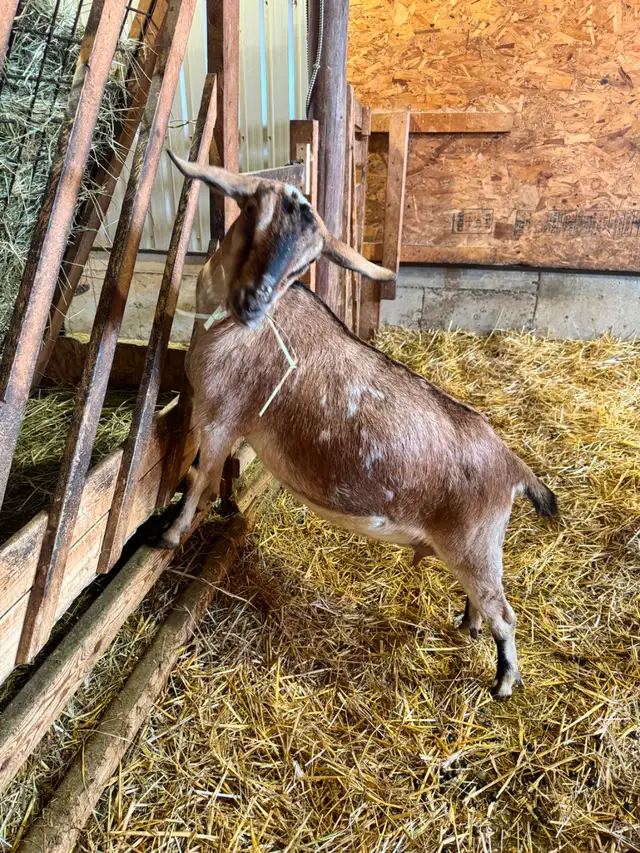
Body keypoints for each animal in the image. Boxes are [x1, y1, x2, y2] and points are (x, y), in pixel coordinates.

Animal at [160, 153, 558, 700]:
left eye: (305, 263)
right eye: (254, 217)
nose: (253, 303)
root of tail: (514, 467)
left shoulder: (220, 415)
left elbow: (199, 477)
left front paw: (169, 534)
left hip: (476, 544)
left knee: (505, 614)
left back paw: (502, 683)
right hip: (473, 549)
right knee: (484, 604)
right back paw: (467, 626)